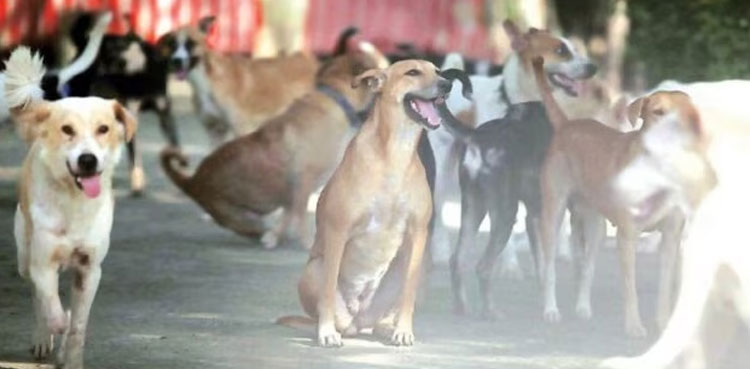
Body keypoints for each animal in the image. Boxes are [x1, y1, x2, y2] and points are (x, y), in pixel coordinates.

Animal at [5, 47, 138, 366]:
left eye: (103, 129)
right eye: (66, 129)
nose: (87, 160)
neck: (73, 203)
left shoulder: (90, 270)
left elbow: (78, 325)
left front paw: (72, 357)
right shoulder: (42, 264)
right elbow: (51, 307)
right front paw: (55, 328)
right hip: (24, 256)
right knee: (37, 297)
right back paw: (43, 338)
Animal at [163, 45, 388, 247]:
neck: (335, 99)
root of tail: (192, 181)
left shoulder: (294, 191)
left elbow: (288, 215)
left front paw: (276, 237)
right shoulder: (304, 180)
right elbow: (300, 217)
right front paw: (304, 242)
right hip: (242, 217)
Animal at [276, 59, 452, 344]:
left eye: (437, 71)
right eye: (412, 72)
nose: (447, 84)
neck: (396, 153)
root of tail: (358, 317)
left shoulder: (418, 234)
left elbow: (408, 294)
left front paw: (404, 330)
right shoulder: (338, 231)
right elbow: (328, 291)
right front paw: (326, 332)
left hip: (408, 267)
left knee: (384, 314)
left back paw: (388, 327)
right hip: (313, 269)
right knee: (329, 307)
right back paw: (329, 328)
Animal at [440, 99, 552, 318]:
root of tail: (476, 137)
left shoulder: (534, 217)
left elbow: (542, 267)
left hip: (473, 209)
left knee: (457, 260)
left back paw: (461, 308)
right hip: (505, 214)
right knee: (483, 267)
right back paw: (490, 312)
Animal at [532, 56, 712, 336]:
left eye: (684, 114)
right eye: (657, 112)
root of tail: (568, 124)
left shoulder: (671, 238)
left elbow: (664, 288)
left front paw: (663, 323)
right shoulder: (627, 236)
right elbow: (631, 289)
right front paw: (634, 326)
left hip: (595, 225)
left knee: (588, 267)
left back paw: (583, 308)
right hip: (553, 210)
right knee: (550, 266)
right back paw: (551, 310)